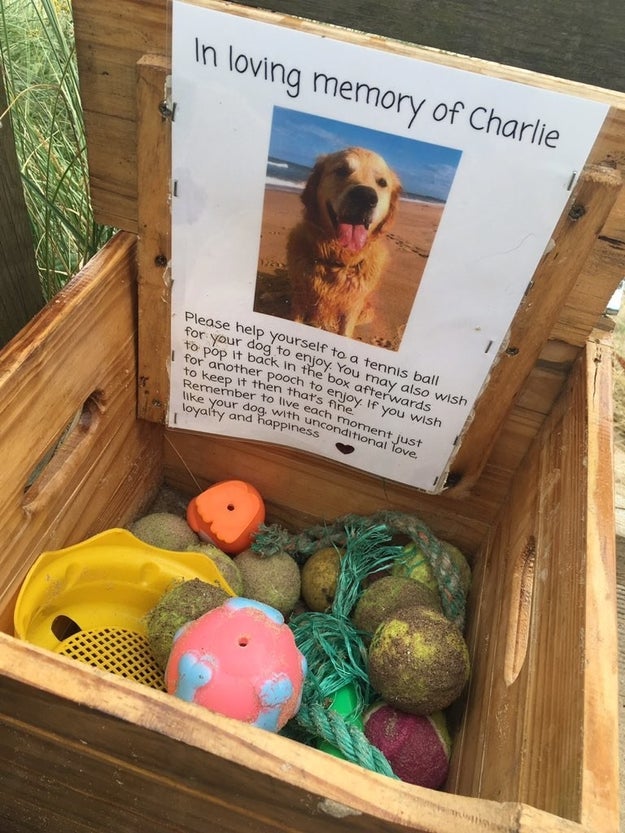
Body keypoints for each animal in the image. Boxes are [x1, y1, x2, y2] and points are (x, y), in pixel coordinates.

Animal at [286, 147, 400, 338]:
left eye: (382, 182)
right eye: (341, 170)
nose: (365, 196)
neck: (337, 261)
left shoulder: (351, 308)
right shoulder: (301, 298)